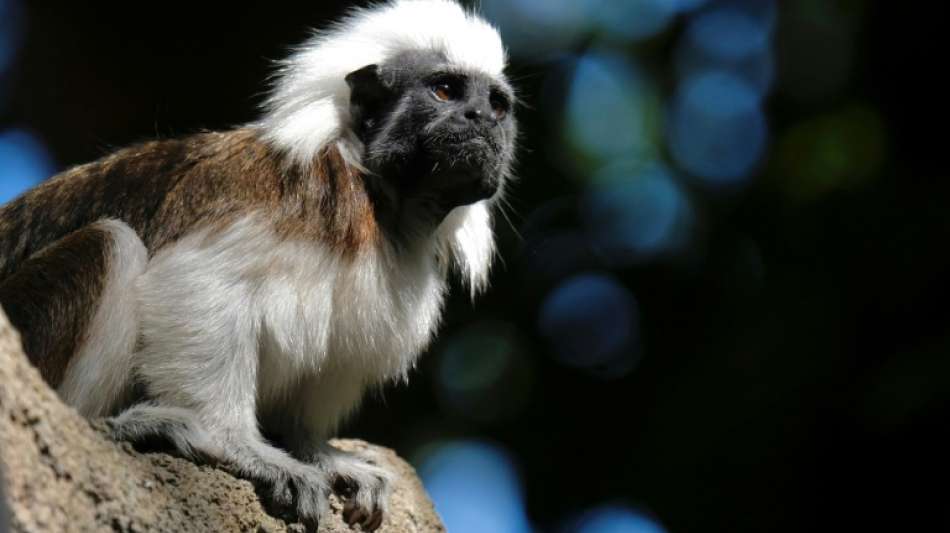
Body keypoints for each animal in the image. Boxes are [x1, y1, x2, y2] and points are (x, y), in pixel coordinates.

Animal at [0, 1, 517, 529]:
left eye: (497, 105)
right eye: (445, 90)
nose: (481, 118)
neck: (380, 199)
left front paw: (316, 450)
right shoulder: (289, 198)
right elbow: (192, 281)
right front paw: (241, 446)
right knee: (110, 243)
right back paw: (115, 426)